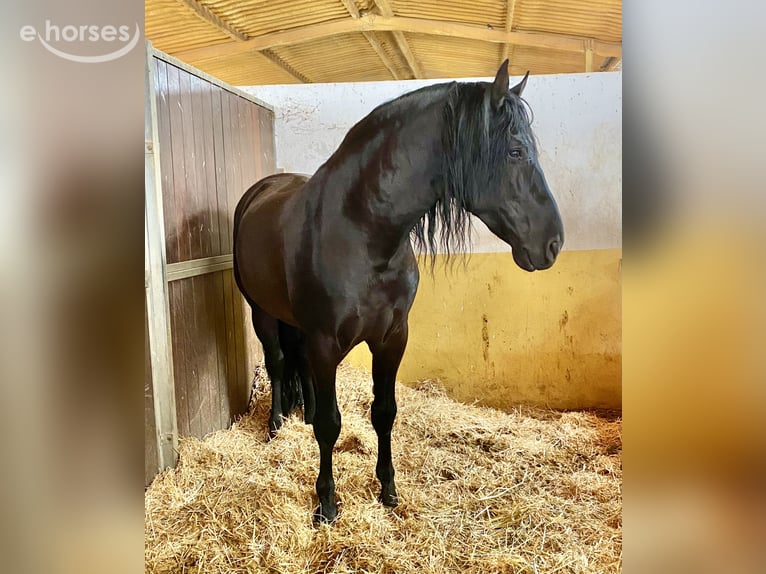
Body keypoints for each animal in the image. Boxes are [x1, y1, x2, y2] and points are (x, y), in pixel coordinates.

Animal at [233, 60, 564, 523]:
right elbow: (331, 425)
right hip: (261, 311)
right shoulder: (325, 342)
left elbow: (384, 412)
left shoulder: (392, 338)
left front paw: (388, 490)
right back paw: (277, 423)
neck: (362, 233)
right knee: (280, 362)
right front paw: (327, 503)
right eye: (516, 151)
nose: (553, 242)